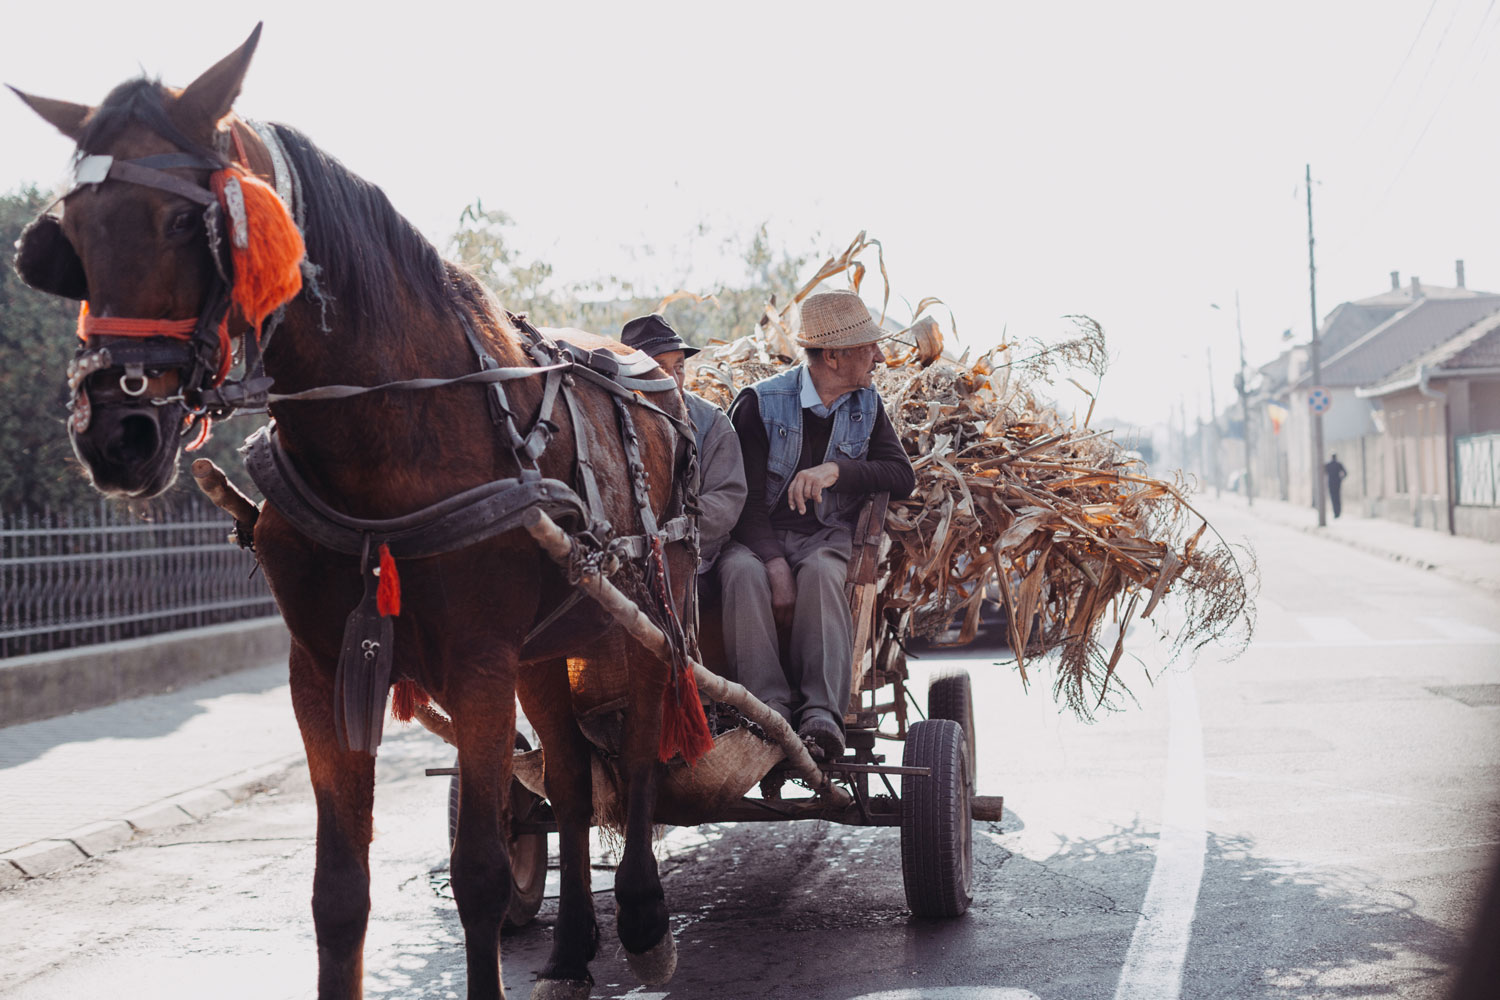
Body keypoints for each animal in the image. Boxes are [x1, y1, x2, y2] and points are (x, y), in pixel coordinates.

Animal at [10, 23, 708, 1000]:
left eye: (188, 223)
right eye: (69, 235)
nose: (115, 432)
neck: (393, 429)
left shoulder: (480, 665)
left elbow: (479, 871)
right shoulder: (322, 668)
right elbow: (338, 892)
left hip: (643, 611)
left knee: (640, 753)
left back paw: (643, 918)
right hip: (546, 646)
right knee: (571, 780)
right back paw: (573, 946)